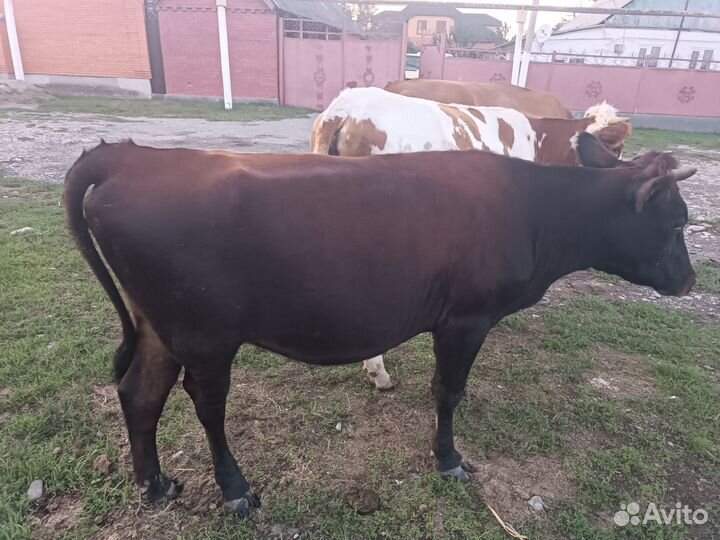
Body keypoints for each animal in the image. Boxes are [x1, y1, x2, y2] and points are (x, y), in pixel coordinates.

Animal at [65, 133, 695, 518]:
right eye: (677, 220)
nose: (690, 281)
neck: (535, 212)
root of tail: (133, 156)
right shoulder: (466, 318)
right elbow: (449, 390)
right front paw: (449, 459)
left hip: (158, 325)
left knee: (140, 392)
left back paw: (155, 485)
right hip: (205, 334)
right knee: (205, 401)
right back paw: (235, 491)